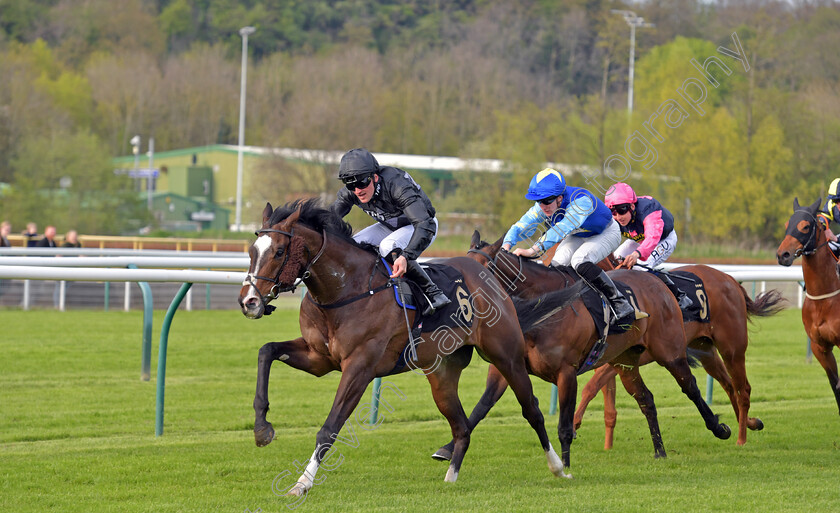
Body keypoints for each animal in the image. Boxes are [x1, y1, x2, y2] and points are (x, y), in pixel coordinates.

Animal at [236, 198, 576, 494]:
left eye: (279, 251)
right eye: (252, 250)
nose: (248, 301)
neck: (346, 289)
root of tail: (491, 280)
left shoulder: (359, 368)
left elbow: (330, 427)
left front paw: (301, 484)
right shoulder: (318, 357)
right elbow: (266, 350)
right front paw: (262, 429)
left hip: (506, 356)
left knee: (531, 409)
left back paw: (559, 467)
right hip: (441, 374)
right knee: (461, 427)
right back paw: (450, 478)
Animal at [436, 232, 732, 468]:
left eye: (484, 269)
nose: (461, 309)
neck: (541, 310)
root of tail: (659, 282)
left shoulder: (566, 372)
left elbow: (565, 426)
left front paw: (565, 467)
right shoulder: (506, 367)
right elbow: (482, 405)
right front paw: (447, 449)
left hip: (669, 351)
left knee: (690, 386)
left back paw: (720, 429)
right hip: (625, 361)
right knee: (646, 398)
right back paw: (659, 451)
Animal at [576, 262, 784, 446]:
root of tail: (729, 279)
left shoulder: (623, 359)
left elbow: (590, 387)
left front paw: (575, 423)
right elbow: (596, 391)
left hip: (732, 348)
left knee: (743, 389)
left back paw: (741, 439)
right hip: (706, 350)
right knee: (730, 386)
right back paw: (750, 423)